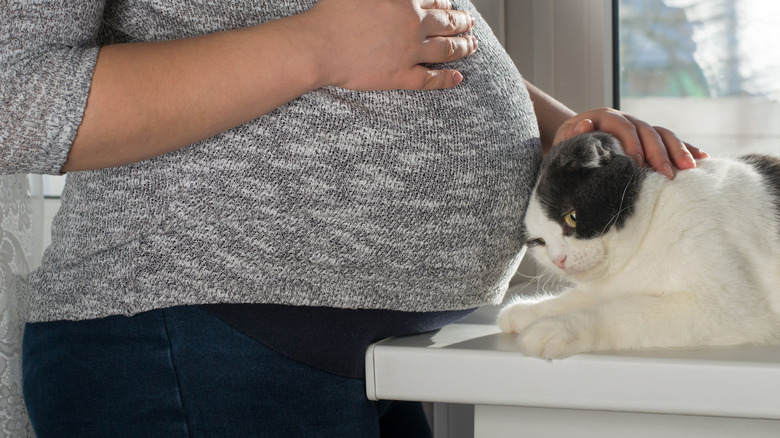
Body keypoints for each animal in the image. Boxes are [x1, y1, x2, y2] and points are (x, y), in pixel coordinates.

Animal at [496, 132, 780, 362]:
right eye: (540, 242)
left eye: (572, 217)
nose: (558, 259)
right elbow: (578, 297)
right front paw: (528, 310)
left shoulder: (726, 307)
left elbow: (621, 312)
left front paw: (556, 328)